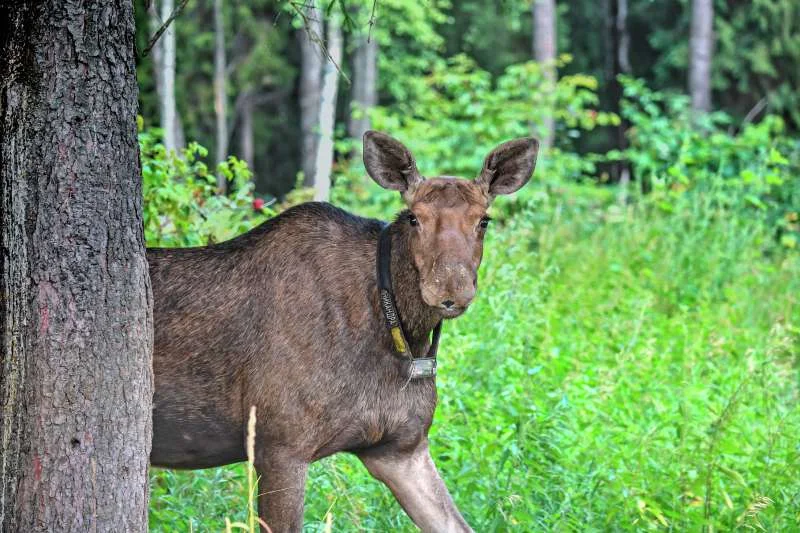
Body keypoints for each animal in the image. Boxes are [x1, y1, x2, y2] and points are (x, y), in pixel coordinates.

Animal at [149, 131, 536, 528]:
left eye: (484, 220)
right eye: (414, 217)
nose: (450, 289)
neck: (400, 336)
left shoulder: (400, 448)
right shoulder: (278, 444)